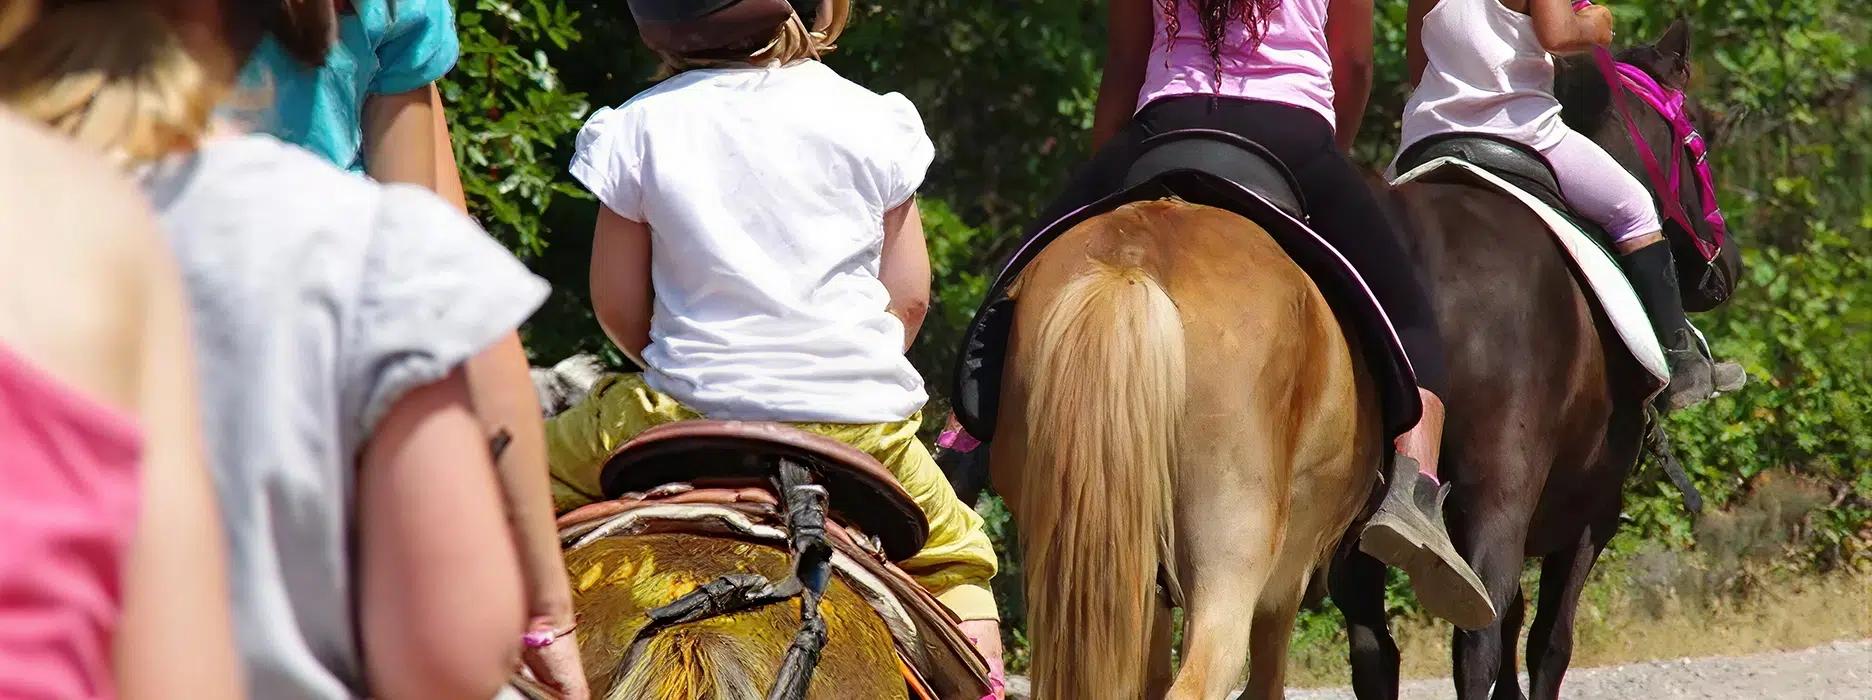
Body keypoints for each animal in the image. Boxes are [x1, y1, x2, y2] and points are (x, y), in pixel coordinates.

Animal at [1328, 19, 1738, 700]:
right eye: (1699, 139)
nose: (1726, 270)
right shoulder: (1589, 514)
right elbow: (1548, 640)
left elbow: (1518, 626)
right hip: (1498, 493)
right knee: (1477, 639)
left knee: (1373, 648)